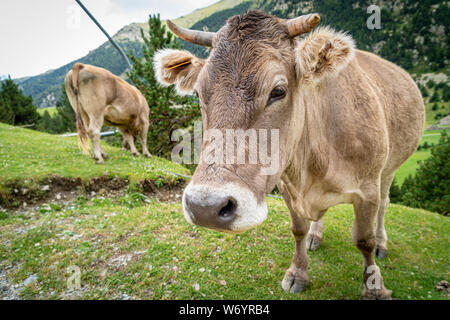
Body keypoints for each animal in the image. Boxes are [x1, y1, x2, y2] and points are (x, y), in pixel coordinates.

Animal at [155, 10, 426, 300]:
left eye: (278, 91)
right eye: (198, 93)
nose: (205, 207)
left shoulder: (367, 189)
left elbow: (364, 240)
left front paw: (374, 288)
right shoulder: (285, 183)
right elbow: (298, 229)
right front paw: (297, 272)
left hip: (389, 170)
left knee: (385, 205)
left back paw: (382, 244)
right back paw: (316, 236)